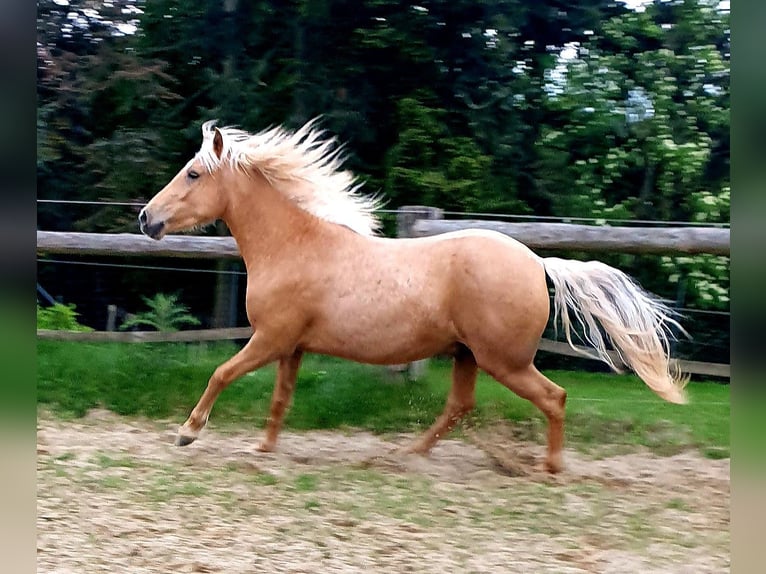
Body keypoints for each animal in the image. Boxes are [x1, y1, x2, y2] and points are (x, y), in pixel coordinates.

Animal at [140, 119, 688, 474]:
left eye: (193, 173)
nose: (147, 219)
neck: (294, 245)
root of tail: (538, 263)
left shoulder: (270, 339)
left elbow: (221, 373)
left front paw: (187, 432)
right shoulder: (291, 347)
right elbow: (280, 398)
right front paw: (263, 450)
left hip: (504, 360)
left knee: (554, 397)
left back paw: (548, 467)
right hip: (469, 355)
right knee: (460, 406)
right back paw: (408, 455)